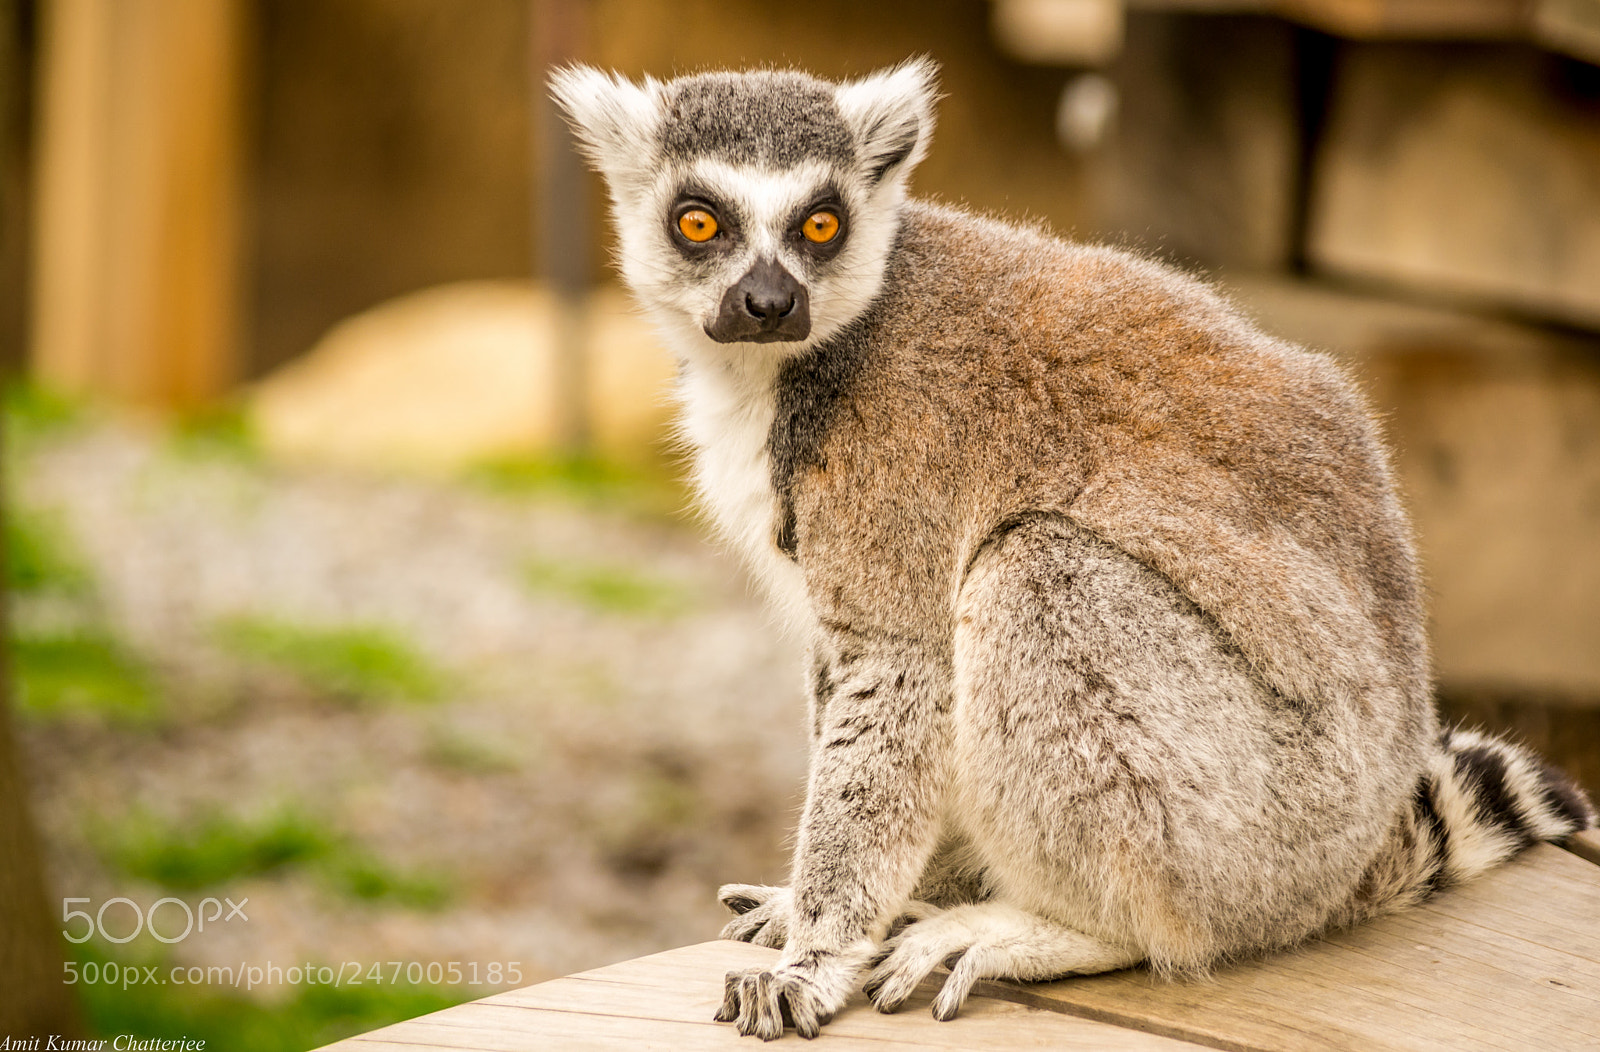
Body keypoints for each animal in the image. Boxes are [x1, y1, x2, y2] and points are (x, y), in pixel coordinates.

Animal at [550, 58, 1595, 1041]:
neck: (787, 370)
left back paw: (1071, 930)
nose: (768, 302)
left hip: (1259, 818)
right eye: (698, 223)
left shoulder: (895, 469)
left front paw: (815, 961)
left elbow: (901, 672)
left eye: (820, 226)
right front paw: (850, 905)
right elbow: (857, 682)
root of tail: (1352, 854)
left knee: (1036, 570)